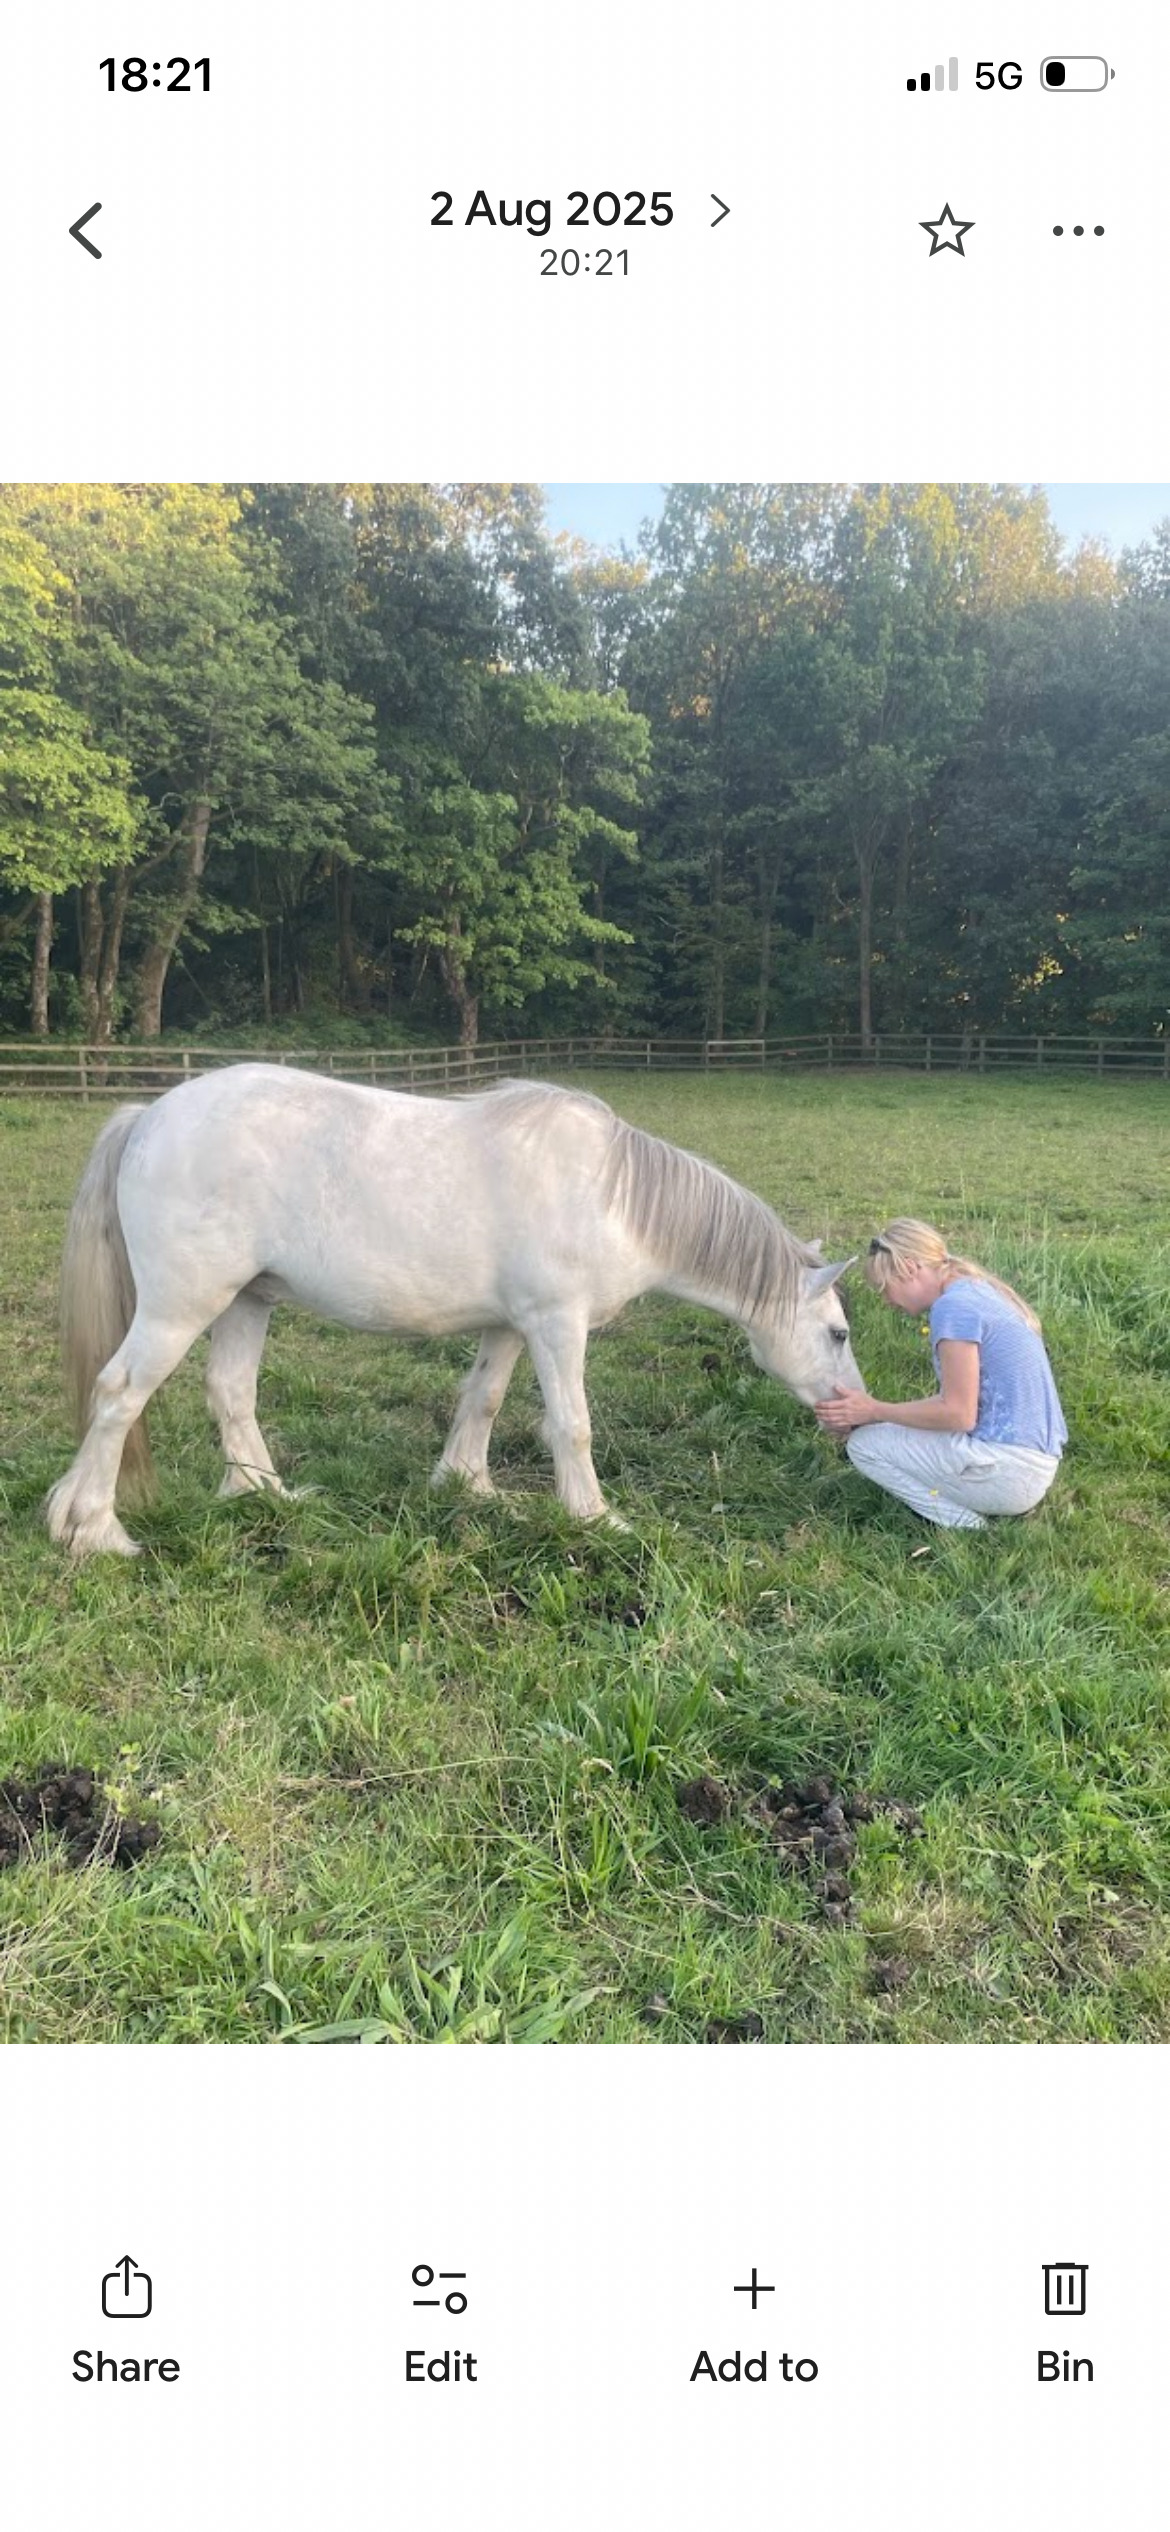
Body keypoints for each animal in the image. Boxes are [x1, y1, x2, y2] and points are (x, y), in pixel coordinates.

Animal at [45, 1066, 862, 1556]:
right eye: (838, 1332)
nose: (848, 1412)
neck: (613, 1196)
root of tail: (149, 1116)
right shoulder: (556, 1325)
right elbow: (571, 1424)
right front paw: (594, 1516)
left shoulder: (509, 1326)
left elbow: (484, 1400)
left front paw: (468, 1487)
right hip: (182, 1307)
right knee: (119, 1394)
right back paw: (94, 1531)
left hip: (247, 1301)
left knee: (229, 1393)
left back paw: (264, 1496)